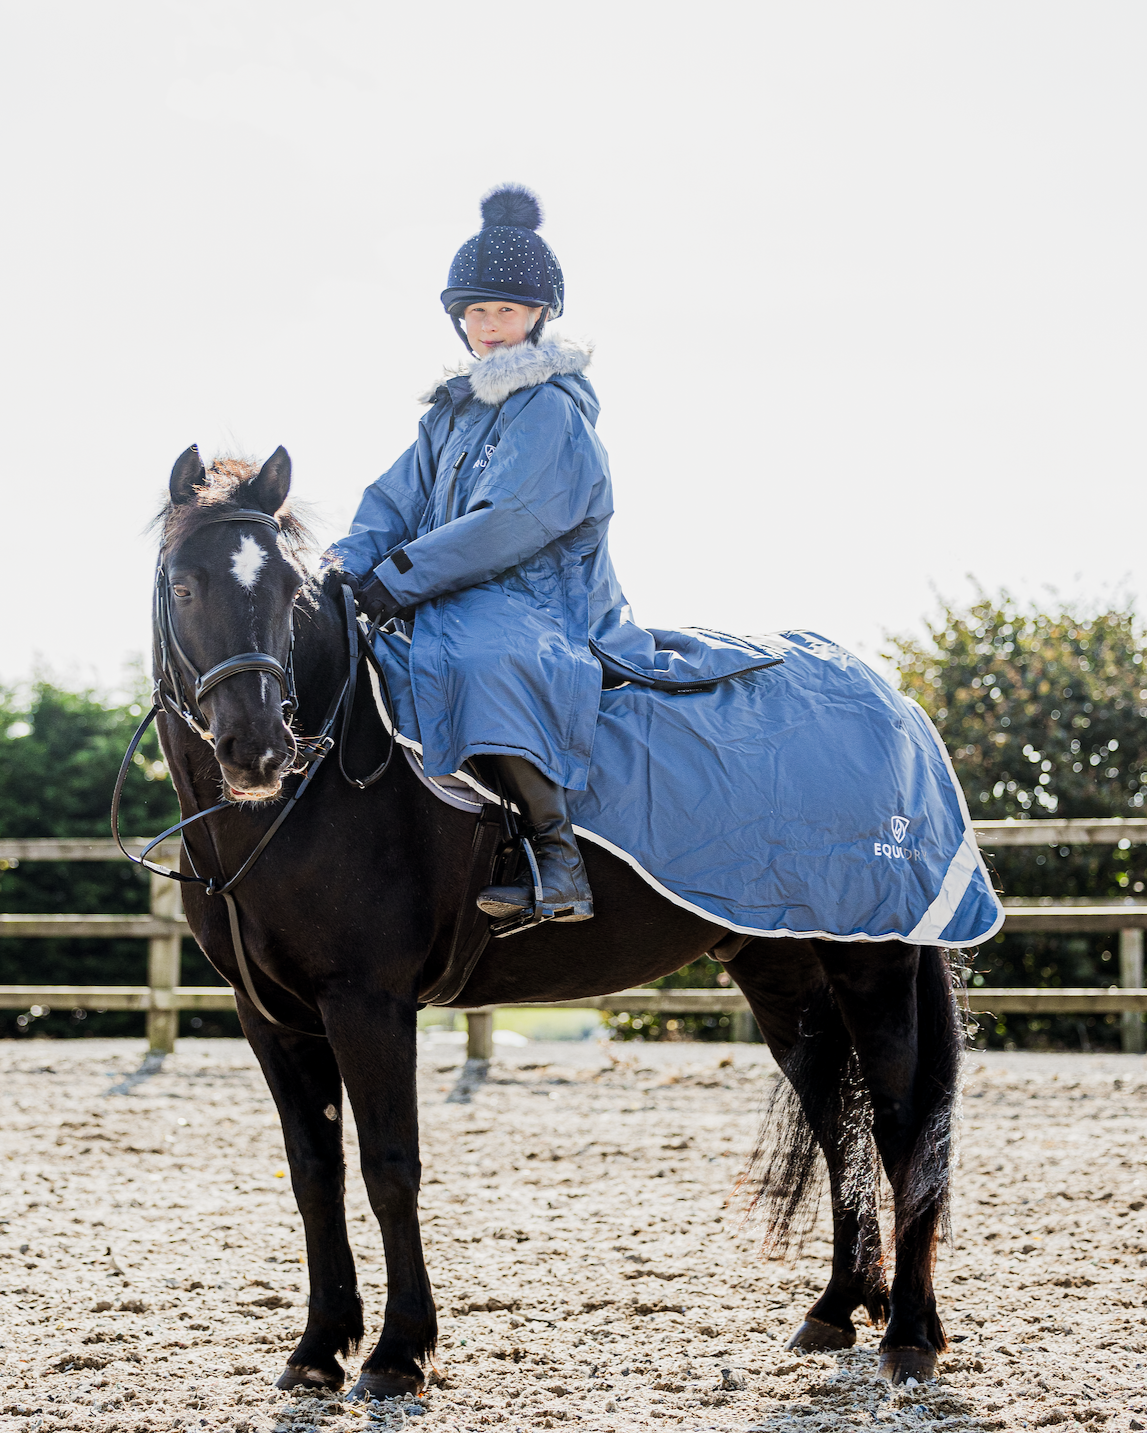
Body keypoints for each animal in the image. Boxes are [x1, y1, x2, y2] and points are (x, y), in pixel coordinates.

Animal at [134, 443, 964, 1400]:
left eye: (287, 592)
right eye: (184, 584)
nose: (258, 749)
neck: (322, 788)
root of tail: (894, 705)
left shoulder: (367, 1002)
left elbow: (389, 1166)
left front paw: (397, 1350)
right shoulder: (270, 1015)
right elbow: (314, 1171)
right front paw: (318, 1345)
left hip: (872, 965)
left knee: (900, 1123)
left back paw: (910, 1333)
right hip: (780, 969)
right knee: (836, 1120)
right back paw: (835, 1307)